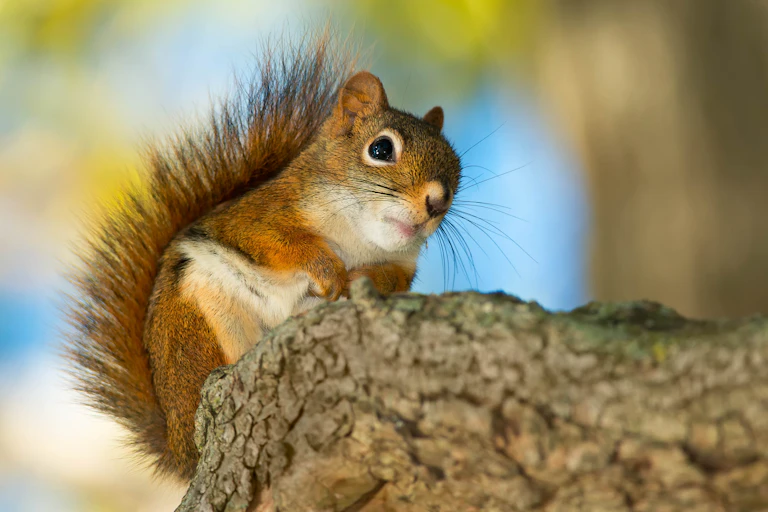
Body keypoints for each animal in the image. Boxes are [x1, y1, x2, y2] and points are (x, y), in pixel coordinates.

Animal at [64, 30, 461, 481]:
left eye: (457, 170)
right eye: (380, 149)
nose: (437, 202)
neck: (360, 238)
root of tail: (178, 446)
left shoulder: (402, 263)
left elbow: (392, 279)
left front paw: (363, 280)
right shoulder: (256, 216)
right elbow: (279, 242)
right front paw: (328, 270)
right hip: (197, 324)